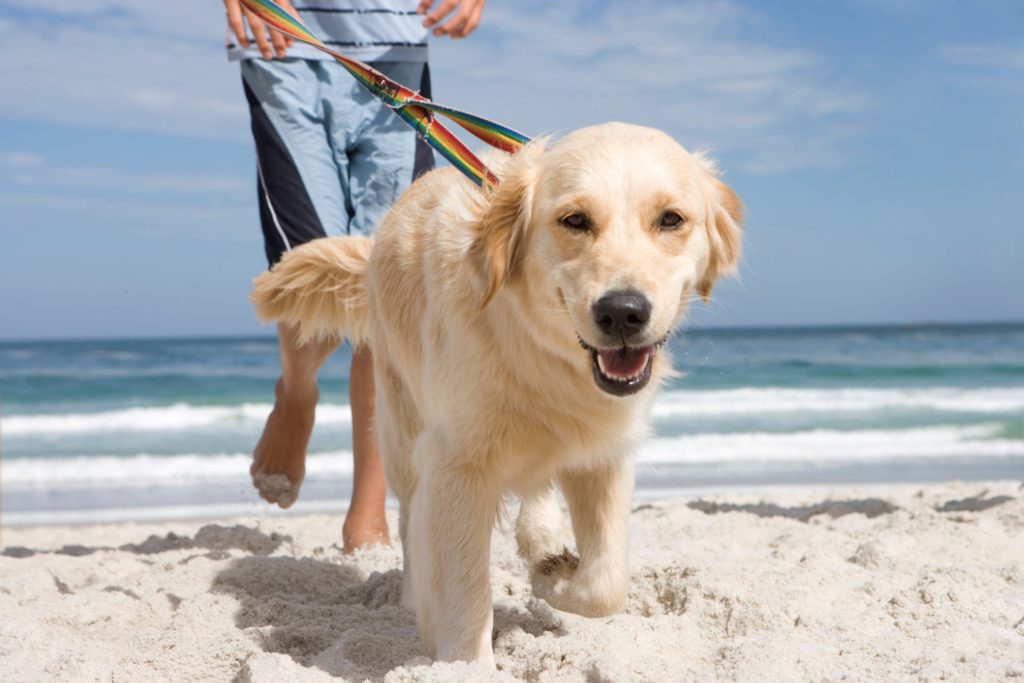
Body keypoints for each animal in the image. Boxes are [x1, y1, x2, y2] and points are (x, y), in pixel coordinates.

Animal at [249, 122, 745, 667]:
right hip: (401, 427)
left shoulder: (605, 455)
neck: (543, 354)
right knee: (408, 516)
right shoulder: (455, 461)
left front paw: (553, 576)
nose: (622, 313)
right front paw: (467, 662)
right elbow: (463, 586)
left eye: (671, 219)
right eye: (574, 220)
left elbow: (606, 586)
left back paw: (542, 538)